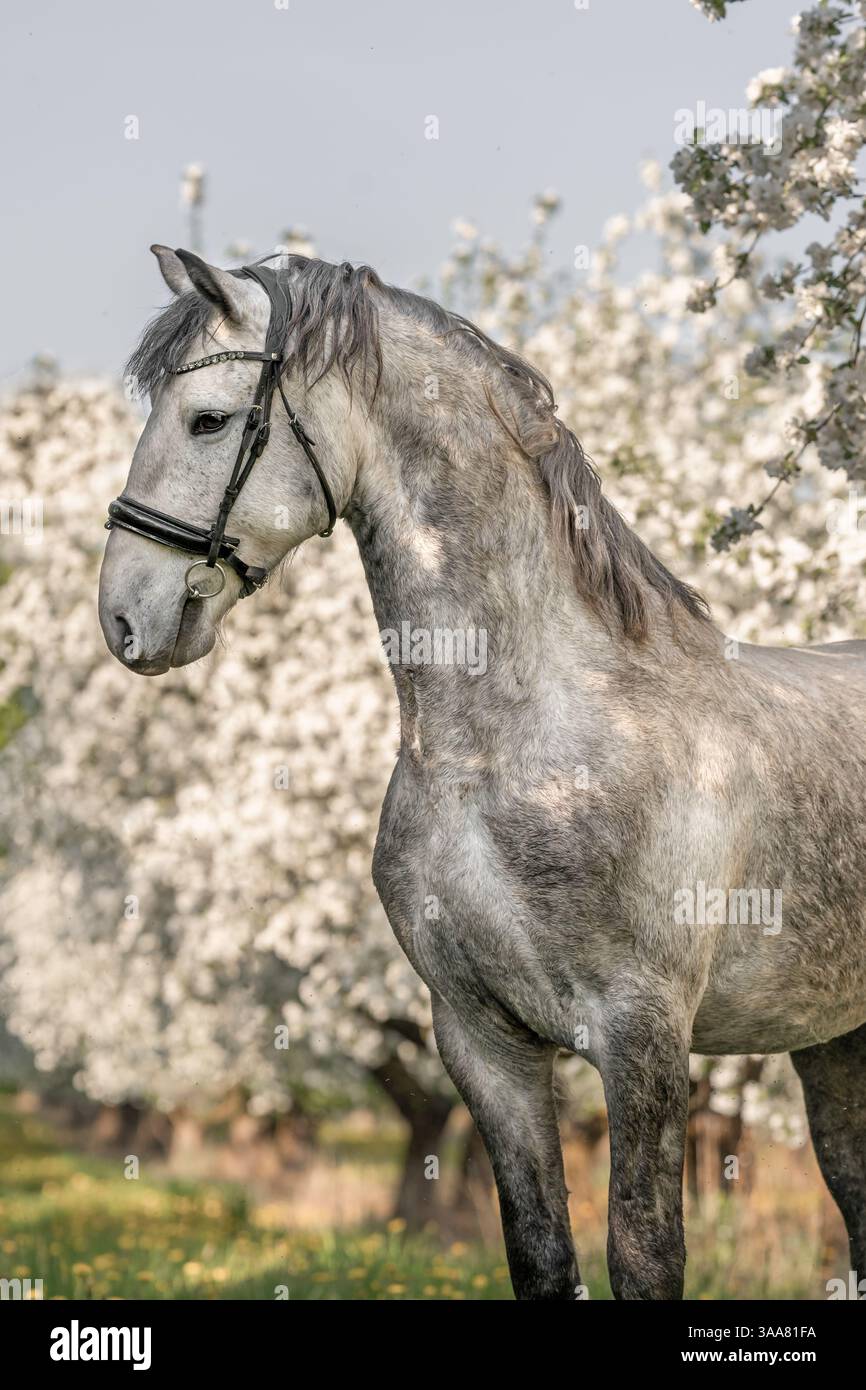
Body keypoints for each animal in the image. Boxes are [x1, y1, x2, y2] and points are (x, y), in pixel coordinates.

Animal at [99, 246, 866, 1301]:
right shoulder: (481, 1044)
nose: (123, 618)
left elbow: (645, 1256)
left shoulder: (643, 1040)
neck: (511, 743)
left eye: (207, 419)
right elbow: (540, 1254)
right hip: (832, 1042)